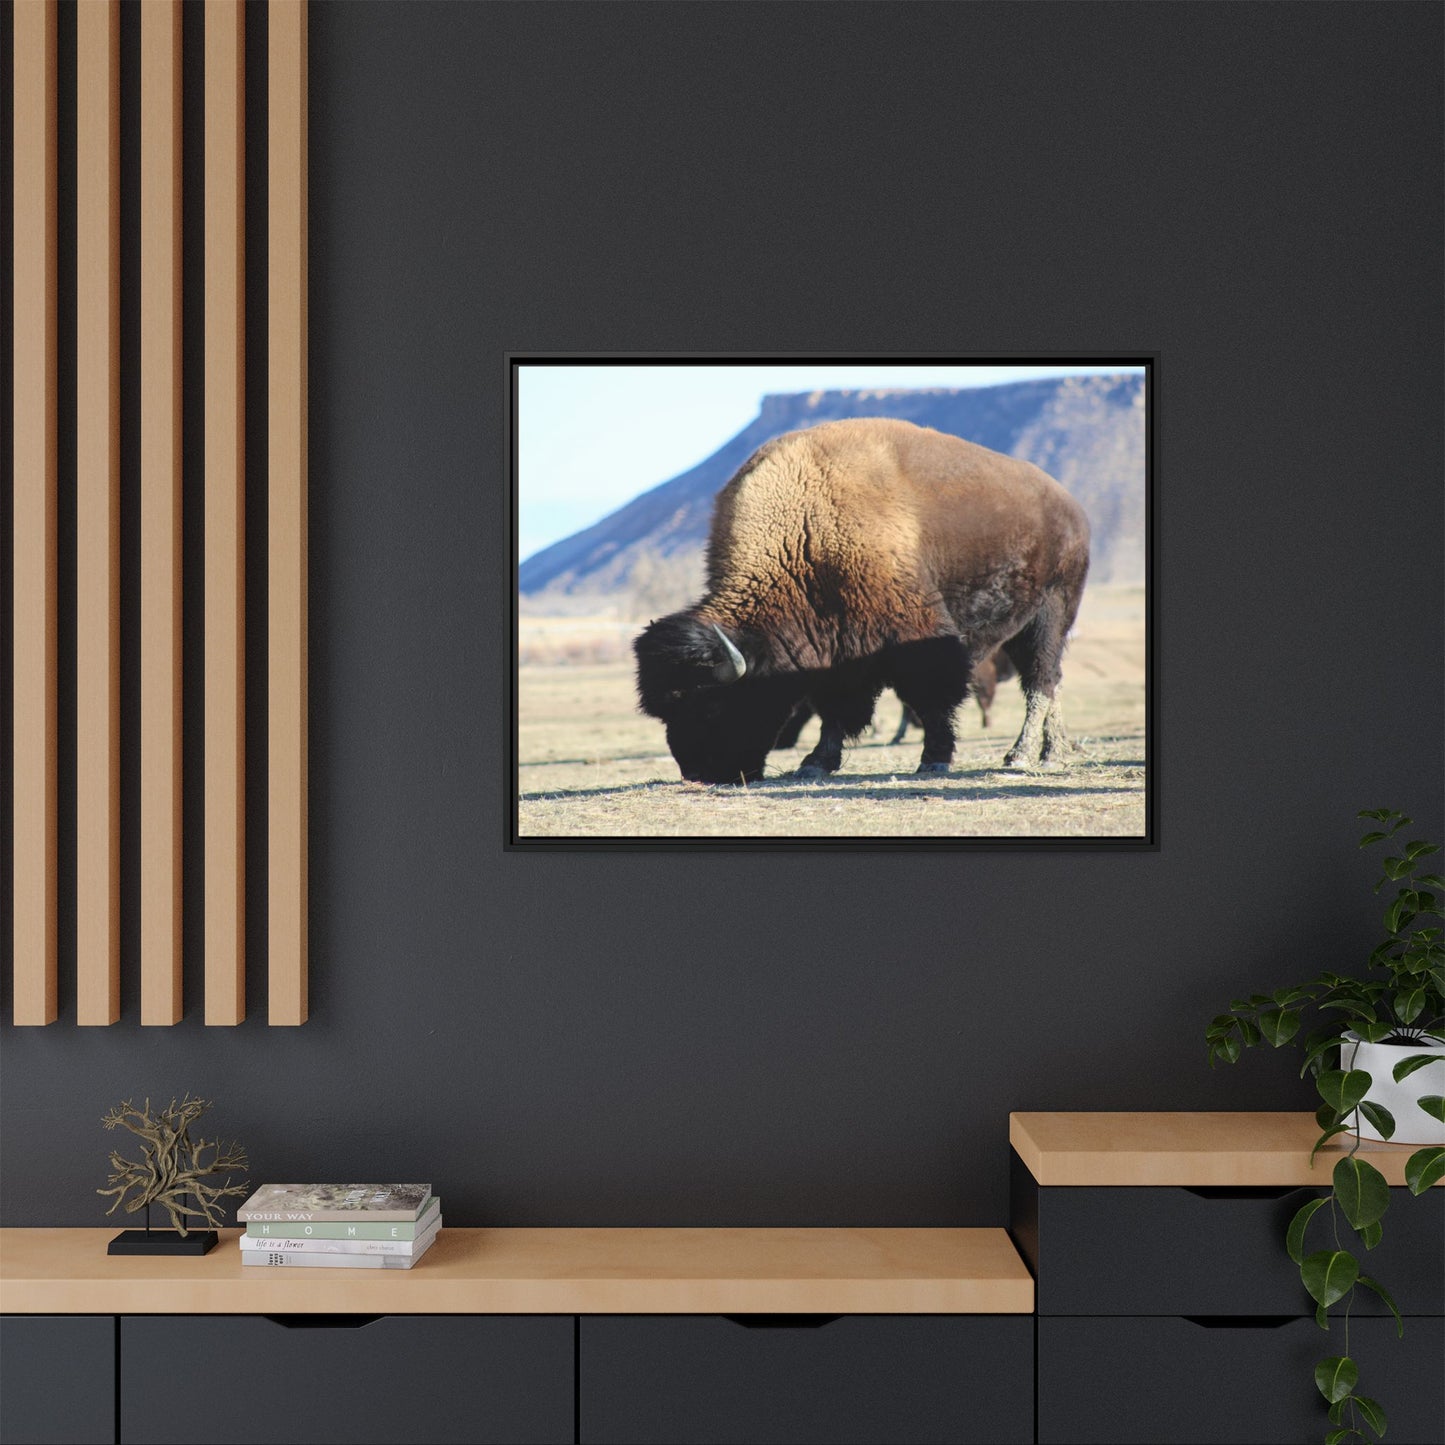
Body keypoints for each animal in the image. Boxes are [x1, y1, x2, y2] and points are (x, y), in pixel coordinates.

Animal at [633, 417, 1089, 785]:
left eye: (710, 705)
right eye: (666, 712)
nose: (700, 772)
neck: (804, 532)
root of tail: (1069, 506)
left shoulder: (917, 637)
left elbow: (932, 698)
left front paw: (934, 759)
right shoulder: (834, 650)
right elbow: (835, 709)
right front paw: (815, 763)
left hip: (1051, 614)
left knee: (1040, 680)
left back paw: (1025, 756)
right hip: (1024, 625)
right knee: (1050, 681)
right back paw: (1053, 751)